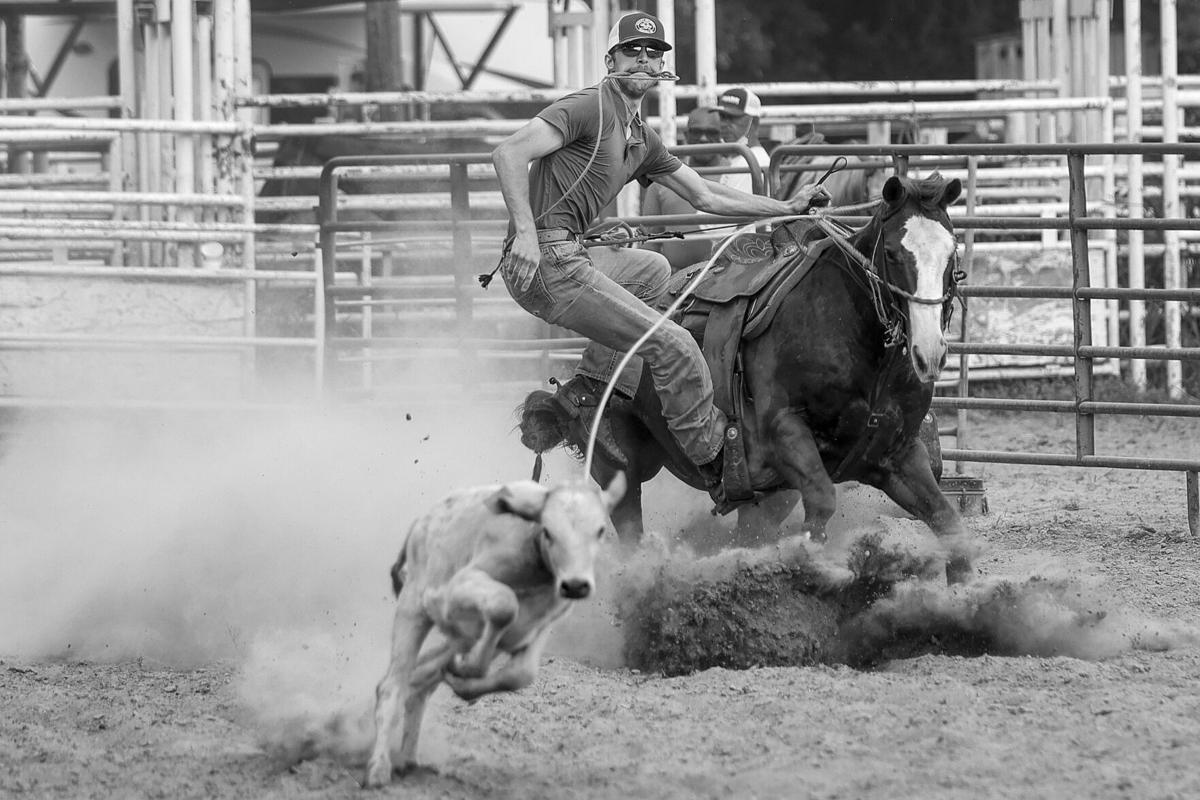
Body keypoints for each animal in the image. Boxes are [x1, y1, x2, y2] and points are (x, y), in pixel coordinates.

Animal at [362, 472, 628, 786]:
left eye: (600, 531)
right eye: (548, 531)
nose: (575, 585)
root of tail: (421, 523)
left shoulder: (540, 625)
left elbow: (520, 674)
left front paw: (463, 681)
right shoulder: (460, 586)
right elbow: (503, 606)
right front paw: (466, 669)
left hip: (456, 636)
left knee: (419, 681)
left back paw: (407, 758)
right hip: (413, 609)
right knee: (392, 686)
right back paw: (379, 768)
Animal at [518, 172, 974, 585]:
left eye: (952, 253)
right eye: (894, 253)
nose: (930, 352)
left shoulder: (898, 452)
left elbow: (947, 520)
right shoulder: (785, 430)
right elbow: (822, 503)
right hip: (620, 464)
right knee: (628, 517)